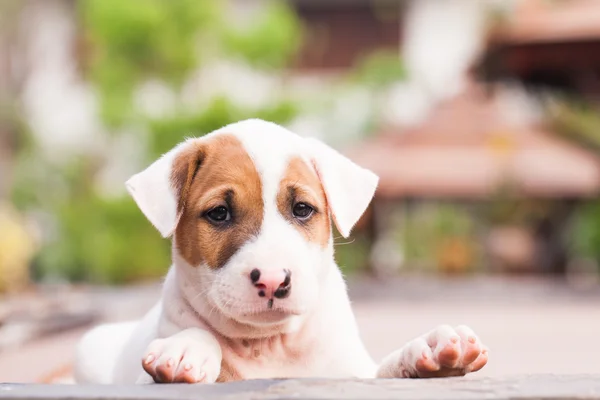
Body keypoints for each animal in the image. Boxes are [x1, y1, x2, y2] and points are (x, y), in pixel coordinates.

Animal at [74, 119, 488, 384]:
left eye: (302, 209)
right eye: (219, 213)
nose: (273, 281)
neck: (269, 345)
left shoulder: (351, 370)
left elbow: (382, 369)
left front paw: (430, 349)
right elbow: (195, 337)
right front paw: (185, 349)